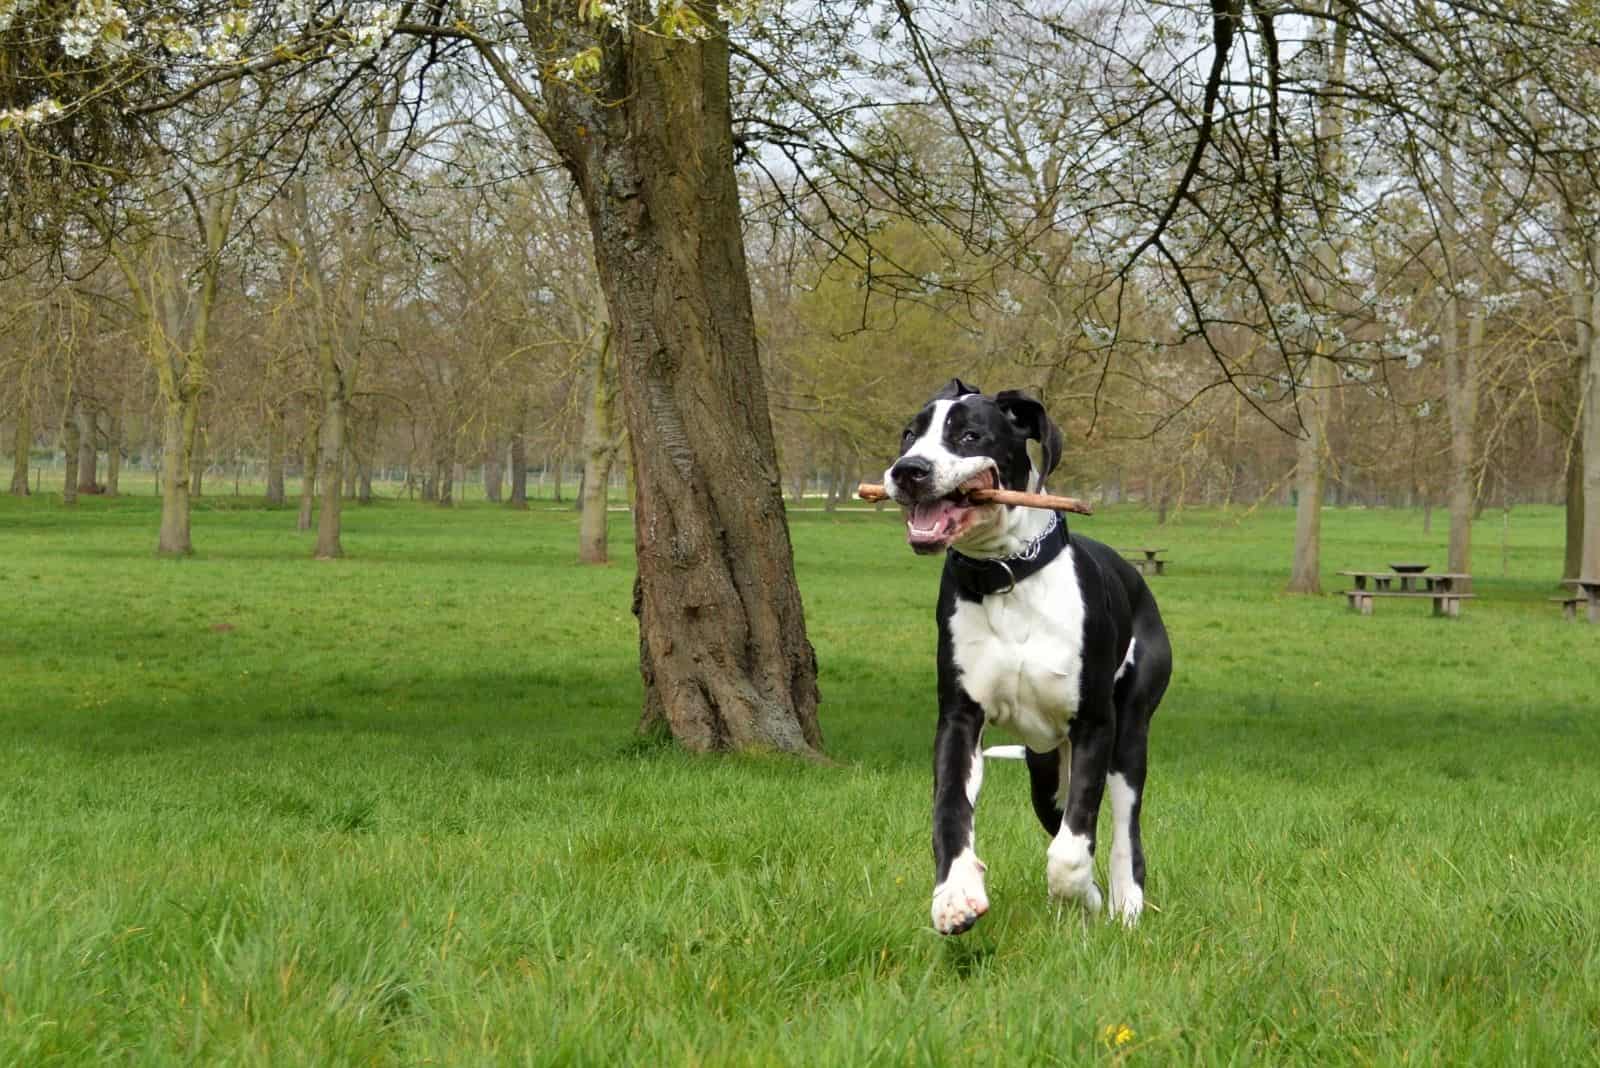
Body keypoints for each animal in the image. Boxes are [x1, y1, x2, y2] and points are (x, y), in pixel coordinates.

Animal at [883, 378, 1171, 927]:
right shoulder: (959, 718)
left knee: (1124, 829)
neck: (1006, 575)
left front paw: (1077, 891)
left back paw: (1125, 904)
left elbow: (1073, 845)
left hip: (1129, 735)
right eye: (909, 434)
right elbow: (950, 808)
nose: (909, 470)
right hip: (1043, 770)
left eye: (969, 435)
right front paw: (954, 894)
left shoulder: (1094, 725)